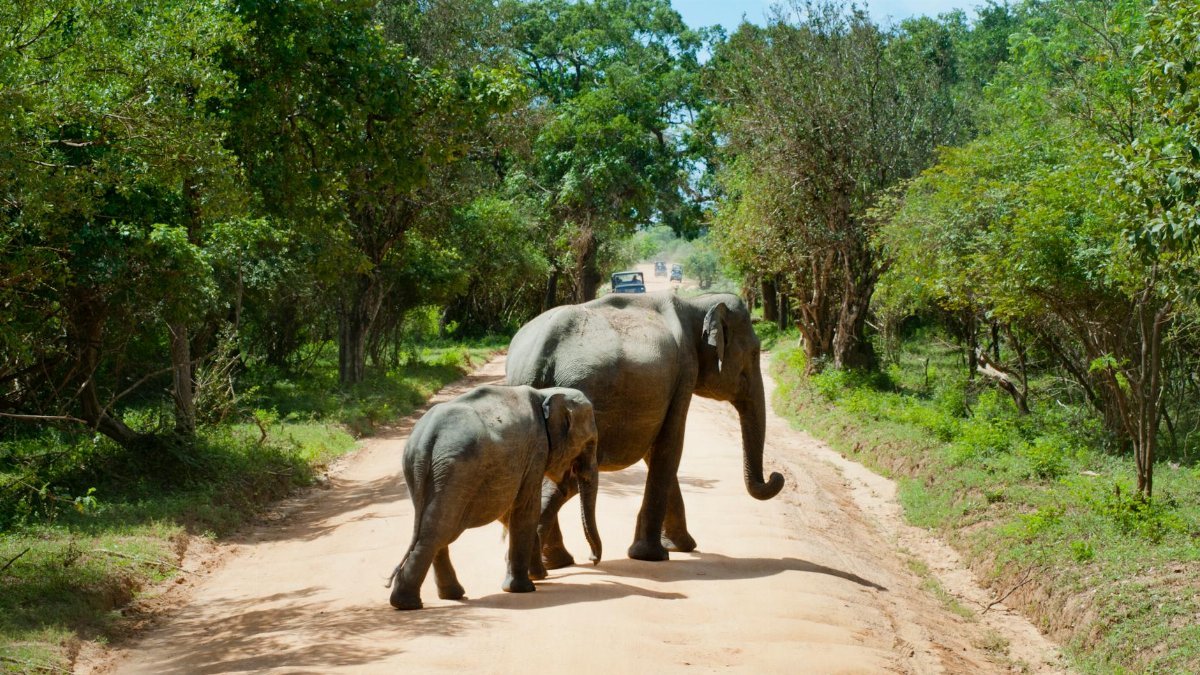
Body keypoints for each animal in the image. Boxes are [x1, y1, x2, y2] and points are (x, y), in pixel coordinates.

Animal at [386, 385, 600, 610]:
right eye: (590, 443)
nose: (593, 559)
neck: (545, 394)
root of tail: (428, 437)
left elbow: (509, 510)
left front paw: (537, 576)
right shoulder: (536, 450)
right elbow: (526, 508)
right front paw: (523, 588)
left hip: (424, 469)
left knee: (434, 526)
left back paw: (445, 596)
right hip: (457, 470)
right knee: (439, 530)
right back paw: (408, 603)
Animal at [505, 291, 784, 567]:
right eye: (755, 353)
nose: (776, 476)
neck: (696, 303)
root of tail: (535, 358)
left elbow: (657, 450)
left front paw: (679, 546)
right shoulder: (684, 371)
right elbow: (670, 445)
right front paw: (653, 555)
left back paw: (554, 562)